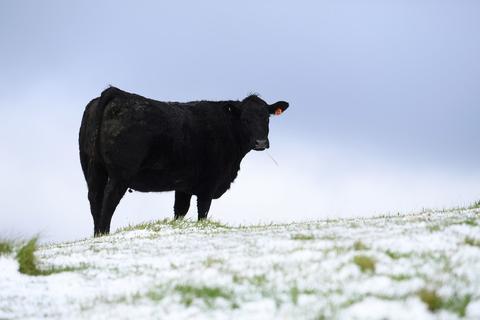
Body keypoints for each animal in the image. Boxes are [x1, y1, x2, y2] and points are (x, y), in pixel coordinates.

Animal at [79, 87, 288, 235]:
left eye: (267, 118)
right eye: (245, 119)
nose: (261, 142)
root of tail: (117, 93)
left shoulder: (184, 185)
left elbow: (180, 210)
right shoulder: (208, 183)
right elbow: (202, 211)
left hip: (93, 168)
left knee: (94, 198)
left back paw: (97, 234)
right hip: (120, 174)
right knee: (109, 200)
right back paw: (104, 233)